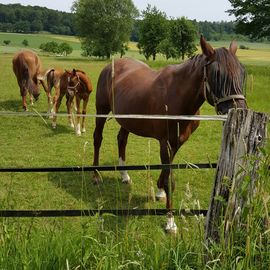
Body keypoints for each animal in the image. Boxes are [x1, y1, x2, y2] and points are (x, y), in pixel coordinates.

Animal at [92, 37, 247, 233]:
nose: (240, 112)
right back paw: (96, 175)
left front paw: (159, 192)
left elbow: (167, 172)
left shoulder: (176, 142)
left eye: (242, 72)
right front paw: (170, 221)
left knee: (122, 139)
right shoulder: (165, 142)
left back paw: (124, 175)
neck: (179, 95)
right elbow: (169, 179)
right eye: (216, 74)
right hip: (101, 111)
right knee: (98, 138)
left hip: (127, 119)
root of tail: (111, 65)